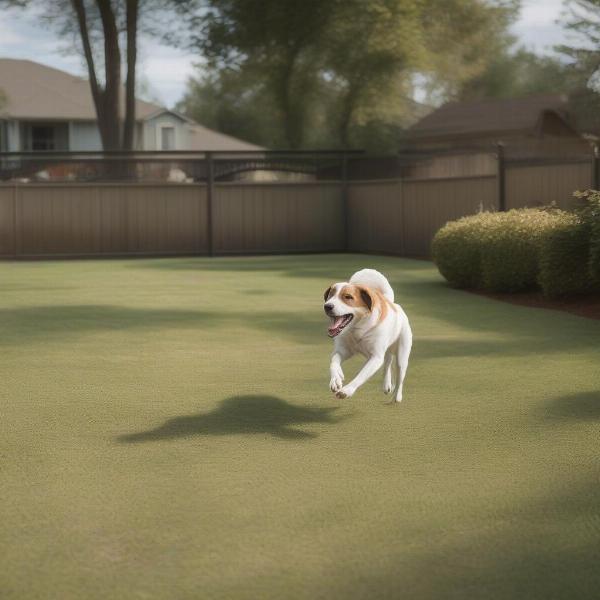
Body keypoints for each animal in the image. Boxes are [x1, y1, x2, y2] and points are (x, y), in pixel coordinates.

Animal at [324, 268, 412, 404]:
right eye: (331, 295)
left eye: (348, 297)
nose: (327, 306)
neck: (357, 329)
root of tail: (393, 304)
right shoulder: (343, 351)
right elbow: (334, 362)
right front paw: (336, 379)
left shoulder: (375, 357)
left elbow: (361, 376)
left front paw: (347, 390)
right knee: (387, 362)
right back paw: (387, 385)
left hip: (402, 355)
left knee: (399, 375)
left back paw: (397, 397)